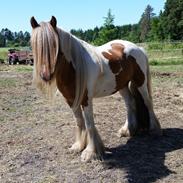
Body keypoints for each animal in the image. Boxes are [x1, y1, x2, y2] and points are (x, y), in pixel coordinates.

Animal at [30, 15, 162, 162]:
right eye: (34, 45)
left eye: (55, 45)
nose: (45, 75)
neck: (74, 68)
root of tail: (138, 48)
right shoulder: (71, 100)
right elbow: (79, 121)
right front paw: (78, 146)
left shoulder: (86, 99)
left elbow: (89, 124)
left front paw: (90, 152)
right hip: (121, 85)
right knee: (130, 103)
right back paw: (127, 130)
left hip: (140, 82)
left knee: (148, 102)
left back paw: (154, 130)